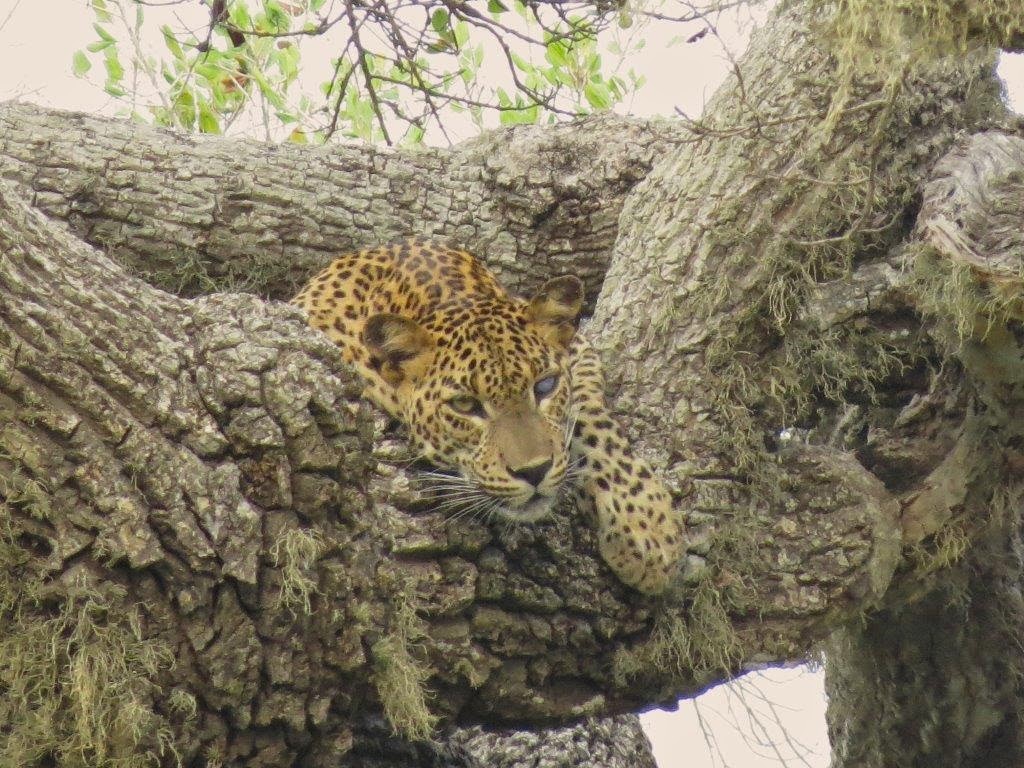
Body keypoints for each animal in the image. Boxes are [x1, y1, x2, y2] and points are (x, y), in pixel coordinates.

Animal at [292, 240, 684, 593]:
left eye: (545, 386)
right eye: (466, 405)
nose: (534, 472)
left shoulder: (576, 347)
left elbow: (591, 417)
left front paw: (646, 524)